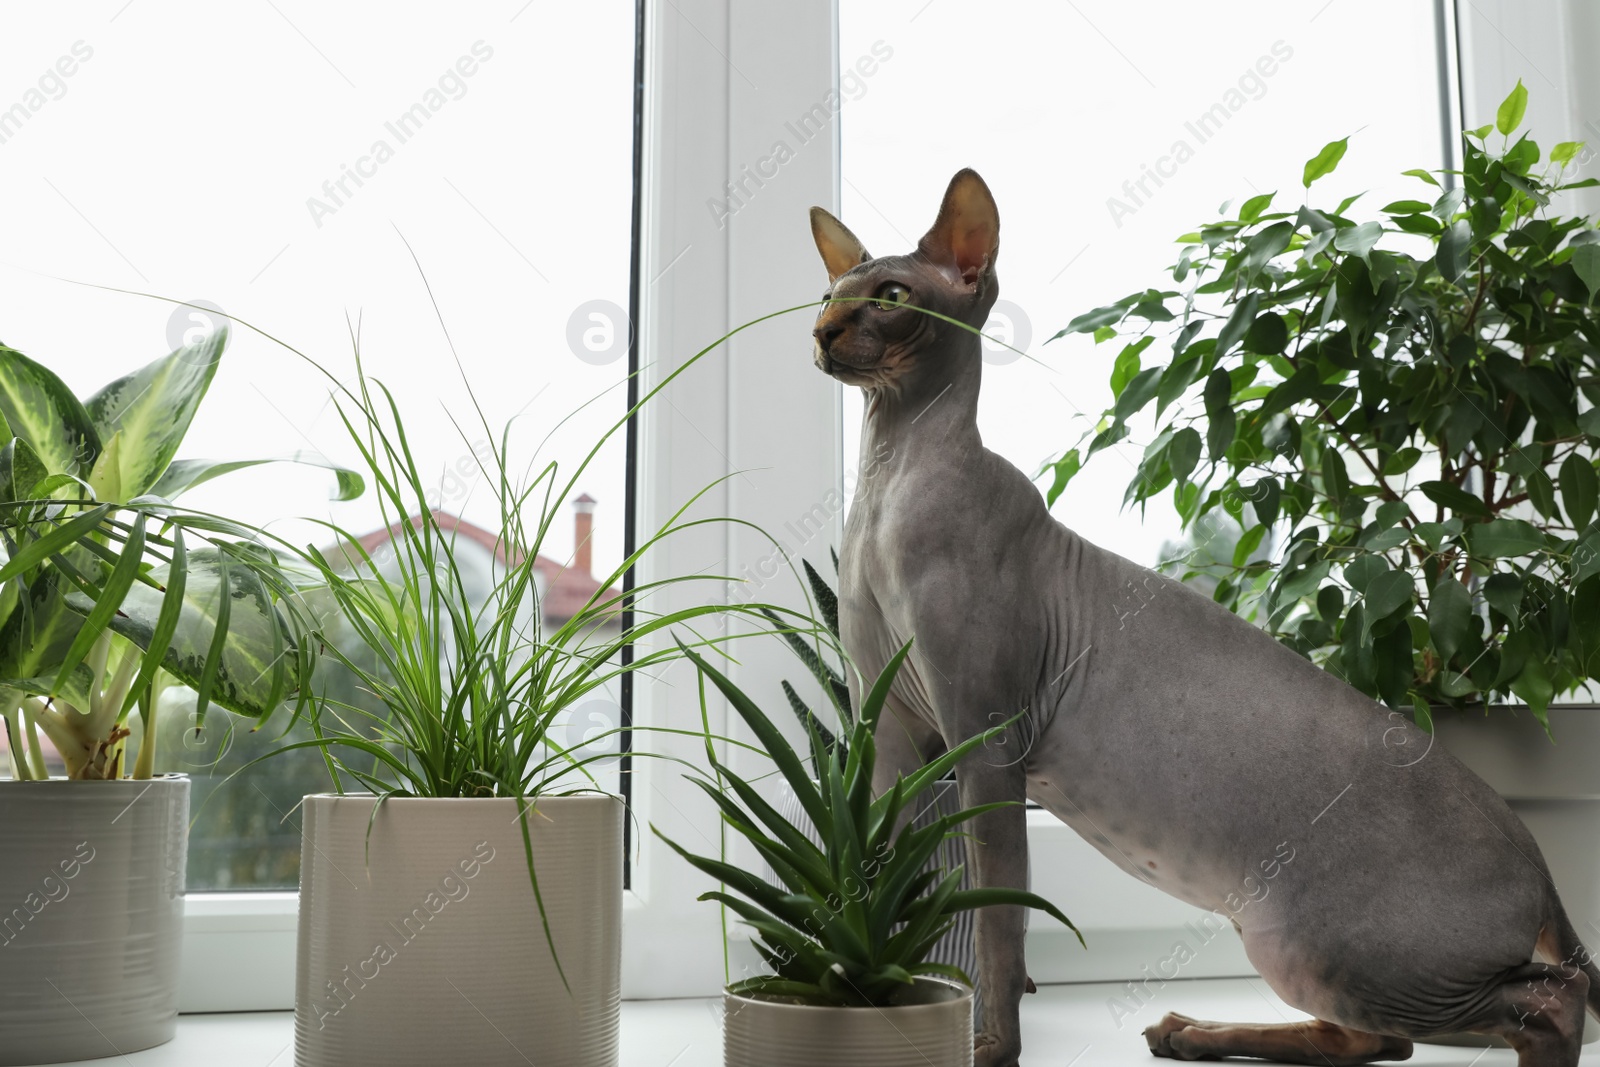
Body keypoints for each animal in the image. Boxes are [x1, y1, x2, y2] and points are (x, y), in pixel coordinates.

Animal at [812, 168, 1600, 1067]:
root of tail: (1537, 858)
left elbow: (998, 923)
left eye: (890, 296)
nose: (823, 331)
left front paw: (989, 1046)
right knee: (1378, 1038)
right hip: (1307, 953)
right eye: (830, 292)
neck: (887, 483)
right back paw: (1192, 1032)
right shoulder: (890, 738)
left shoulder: (986, 741)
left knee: (1549, 995)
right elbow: (882, 879)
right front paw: (873, 995)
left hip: (1347, 946)